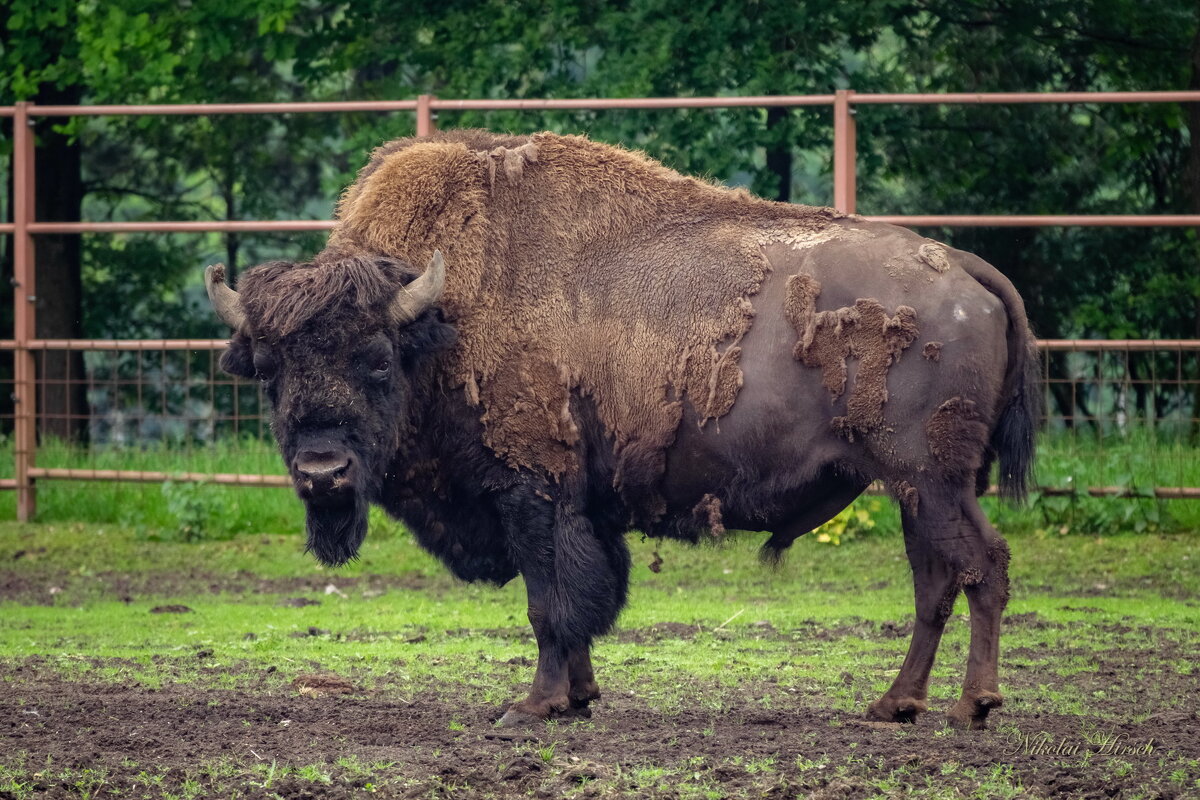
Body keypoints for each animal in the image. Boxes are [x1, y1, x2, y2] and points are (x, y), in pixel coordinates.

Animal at [204, 128, 1032, 729]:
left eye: (376, 361)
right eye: (270, 369)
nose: (322, 473)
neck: (438, 320)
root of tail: (965, 266)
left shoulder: (533, 491)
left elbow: (550, 601)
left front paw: (530, 707)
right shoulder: (585, 507)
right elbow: (584, 601)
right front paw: (578, 697)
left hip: (930, 478)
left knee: (982, 565)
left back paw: (973, 705)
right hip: (915, 488)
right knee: (935, 582)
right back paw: (894, 705)